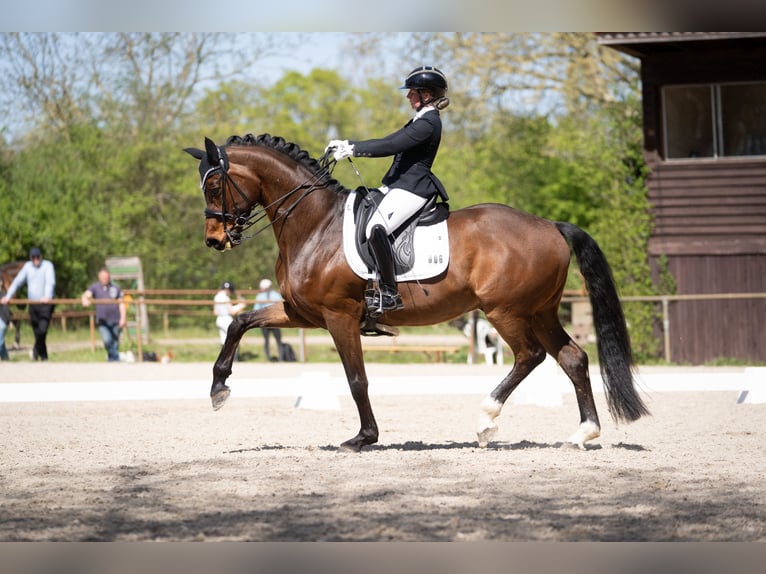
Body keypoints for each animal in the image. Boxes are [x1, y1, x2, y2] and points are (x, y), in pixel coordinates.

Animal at [184, 133, 649, 452]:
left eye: (214, 187)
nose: (213, 240)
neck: (314, 225)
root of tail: (550, 224)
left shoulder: (339, 316)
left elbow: (356, 378)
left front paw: (363, 437)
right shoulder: (303, 313)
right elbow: (240, 322)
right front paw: (219, 387)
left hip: (505, 310)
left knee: (530, 356)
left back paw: (485, 421)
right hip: (541, 310)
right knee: (572, 357)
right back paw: (583, 433)